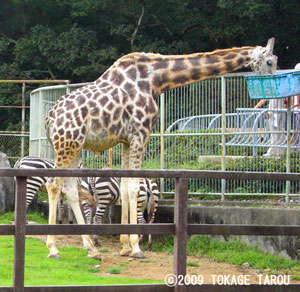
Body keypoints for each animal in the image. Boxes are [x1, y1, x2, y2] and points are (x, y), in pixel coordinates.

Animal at [45, 37, 278, 258]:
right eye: (270, 61)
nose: (273, 90)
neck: (155, 79)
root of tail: (50, 119)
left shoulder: (127, 140)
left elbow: (126, 187)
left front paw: (125, 246)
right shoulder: (141, 133)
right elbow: (134, 187)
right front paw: (136, 247)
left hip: (76, 147)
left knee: (70, 189)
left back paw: (91, 248)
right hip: (67, 144)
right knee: (53, 184)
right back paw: (54, 248)